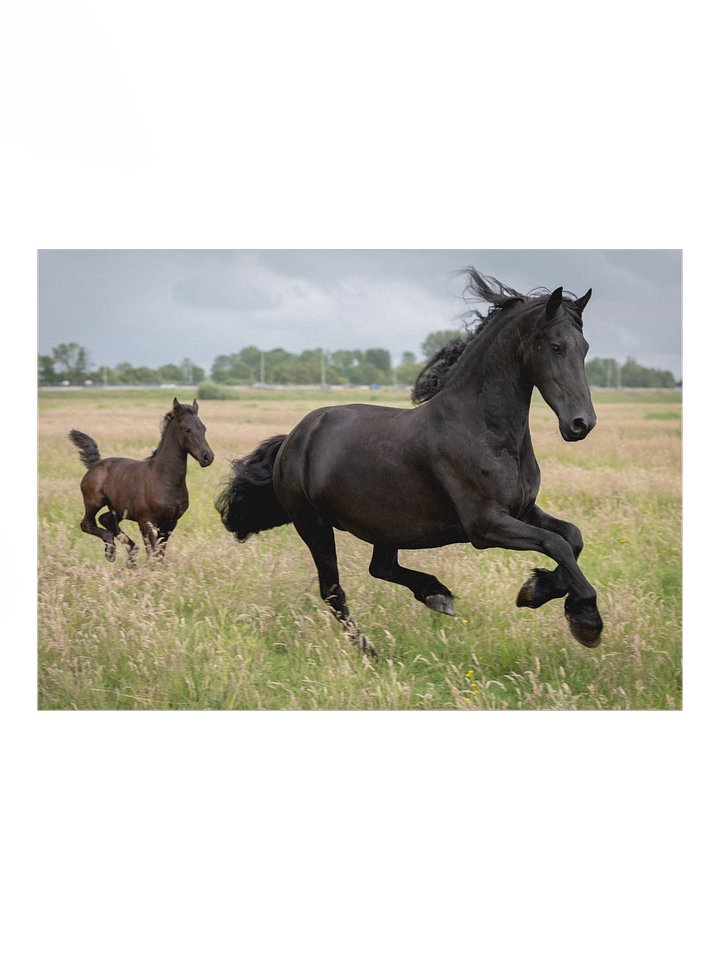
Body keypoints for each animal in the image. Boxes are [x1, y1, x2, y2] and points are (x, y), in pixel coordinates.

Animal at [70, 398, 214, 563]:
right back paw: (111, 550)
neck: (163, 477)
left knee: (106, 519)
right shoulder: (146, 521)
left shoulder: (170, 523)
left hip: (118, 509)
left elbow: (159, 554)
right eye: (186, 429)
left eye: (204, 428)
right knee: (86, 523)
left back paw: (129, 553)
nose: (207, 457)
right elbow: (153, 553)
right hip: (94, 502)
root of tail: (95, 464)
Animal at [216, 270, 603, 655]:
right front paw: (585, 618)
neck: (483, 429)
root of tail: (294, 439)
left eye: (585, 348)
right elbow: (556, 544)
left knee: (380, 568)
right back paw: (372, 652)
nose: (581, 424)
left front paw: (538, 591)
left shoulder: (523, 510)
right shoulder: (486, 525)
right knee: (333, 592)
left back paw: (435, 594)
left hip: (385, 526)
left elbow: (572, 536)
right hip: (315, 526)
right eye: (556, 346)